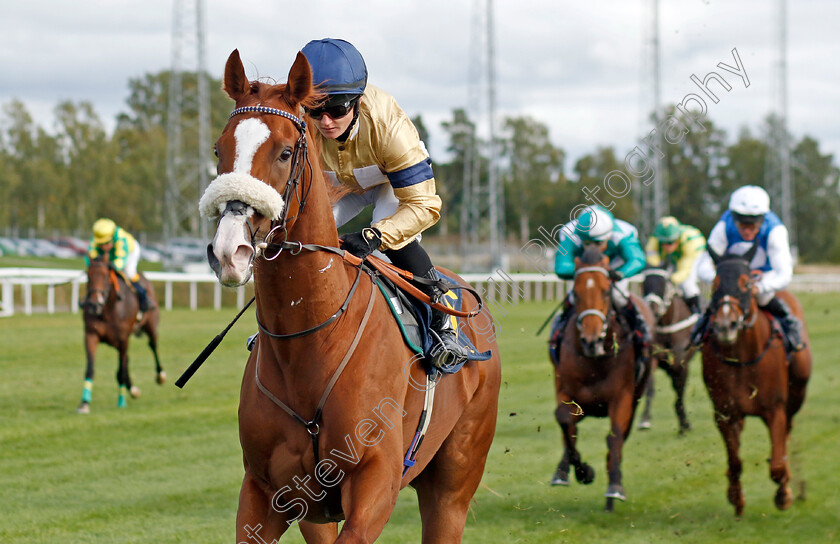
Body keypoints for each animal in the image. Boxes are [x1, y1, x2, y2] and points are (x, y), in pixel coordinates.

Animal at [81, 255, 167, 412]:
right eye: (87, 275)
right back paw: (132, 388)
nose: (93, 305)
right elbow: (90, 368)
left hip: (150, 325)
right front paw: (84, 403)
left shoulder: (123, 339)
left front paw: (121, 401)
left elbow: (121, 372)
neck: (108, 311)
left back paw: (160, 375)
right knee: (127, 360)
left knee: (153, 345)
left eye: (105, 276)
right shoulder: (91, 335)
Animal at [200, 49, 502, 540]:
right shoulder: (269, 492)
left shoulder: (374, 483)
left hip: (453, 484)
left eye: (285, 152)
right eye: (218, 150)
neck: (311, 341)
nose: (230, 250)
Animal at [552, 245, 656, 510]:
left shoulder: (622, 397)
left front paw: (615, 486)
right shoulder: (567, 393)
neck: (594, 361)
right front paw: (582, 472)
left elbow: (614, 437)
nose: (591, 340)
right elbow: (565, 422)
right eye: (576, 293)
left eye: (607, 291)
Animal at [640, 268, 700, 434]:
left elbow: (679, 392)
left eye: (663, 284)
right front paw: (645, 420)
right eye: (644, 284)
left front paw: (684, 425)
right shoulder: (653, 358)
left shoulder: (680, 364)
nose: (651, 308)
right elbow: (650, 388)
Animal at [704, 249, 812, 516]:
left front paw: (784, 495)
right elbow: (735, 461)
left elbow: (776, 465)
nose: (725, 325)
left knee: (786, 436)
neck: (743, 358)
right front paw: (736, 498)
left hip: (796, 393)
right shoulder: (725, 412)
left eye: (746, 283)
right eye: (715, 284)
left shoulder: (775, 409)